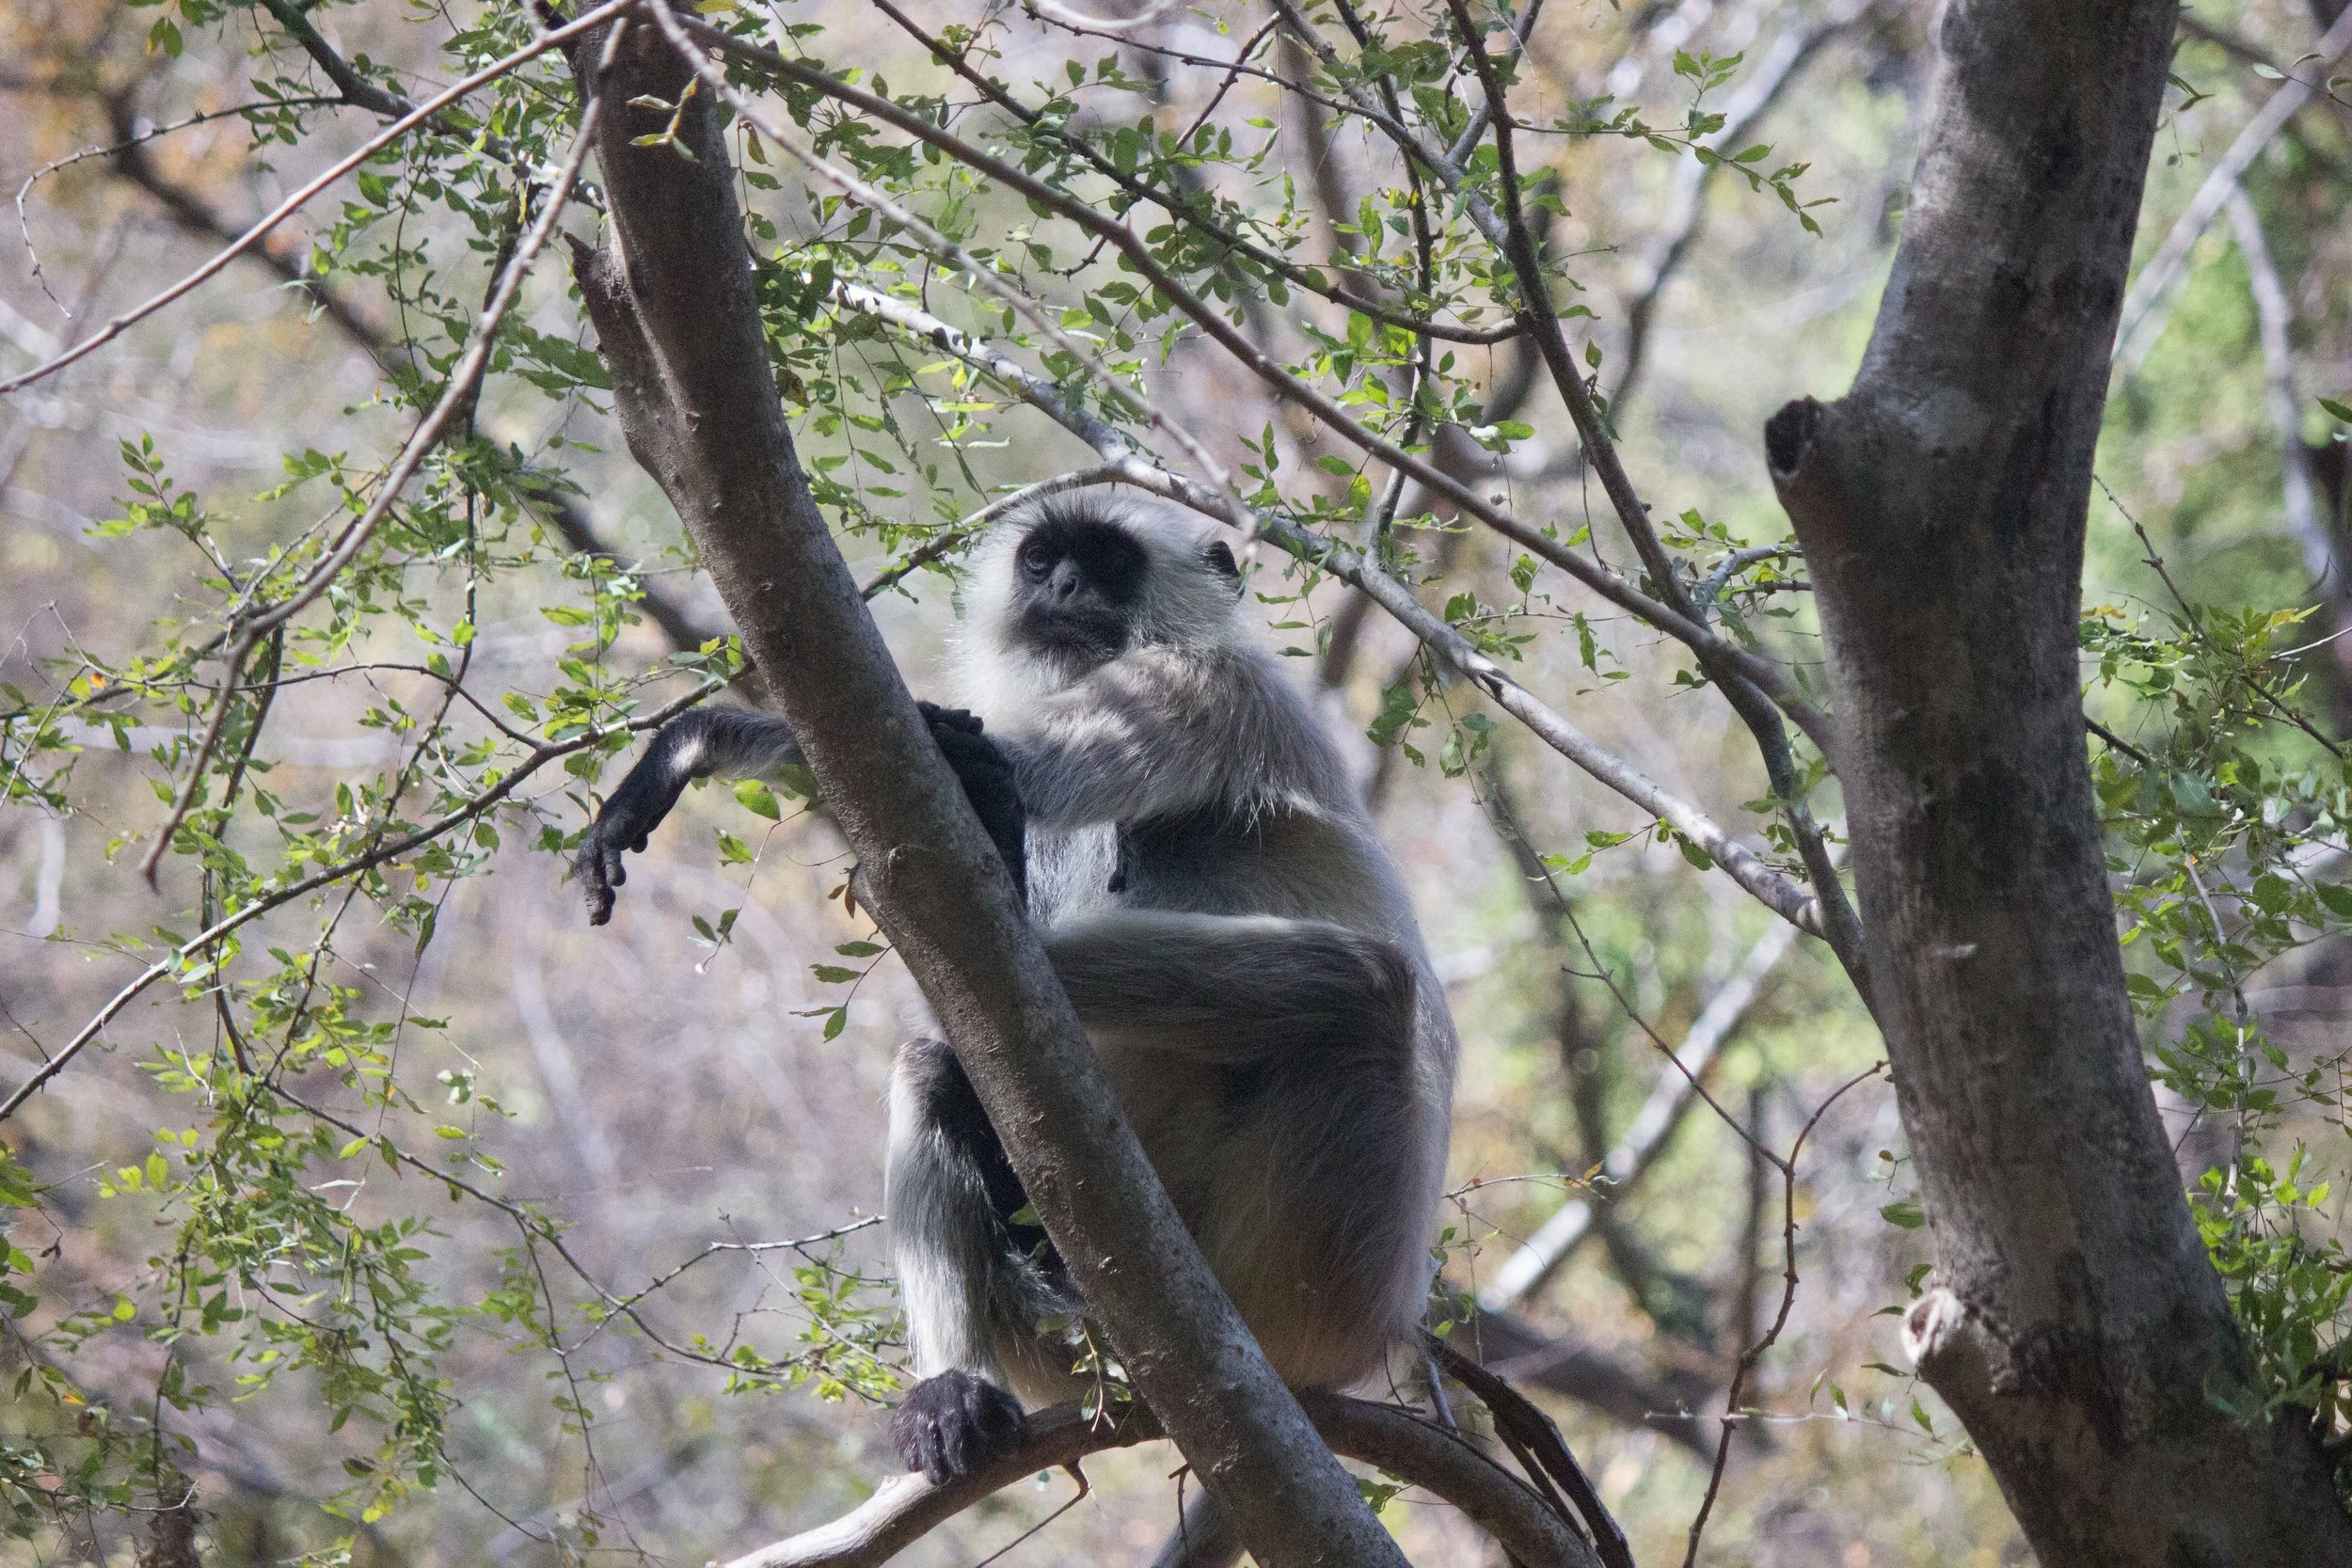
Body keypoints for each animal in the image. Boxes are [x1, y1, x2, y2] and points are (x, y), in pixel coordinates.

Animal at [574, 490, 1459, 1501]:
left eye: (1107, 563)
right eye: (1043, 560)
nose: (1066, 588)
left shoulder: (1202, 683)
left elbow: (977, 779)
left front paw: (695, 743)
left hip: (1317, 1264)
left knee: (1360, 981)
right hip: (1061, 1330)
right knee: (939, 1055)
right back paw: (954, 1386)